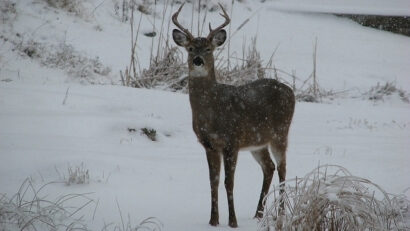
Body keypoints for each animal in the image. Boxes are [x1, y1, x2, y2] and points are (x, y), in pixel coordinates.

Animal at [172, 3, 294, 227]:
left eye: (209, 49)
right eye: (190, 48)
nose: (198, 60)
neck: (212, 113)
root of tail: (290, 91)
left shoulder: (232, 140)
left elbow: (229, 182)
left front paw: (233, 222)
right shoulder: (209, 144)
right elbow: (213, 182)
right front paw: (213, 221)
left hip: (280, 133)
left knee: (282, 168)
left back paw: (280, 215)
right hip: (258, 141)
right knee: (269, 167)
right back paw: (258, 214)